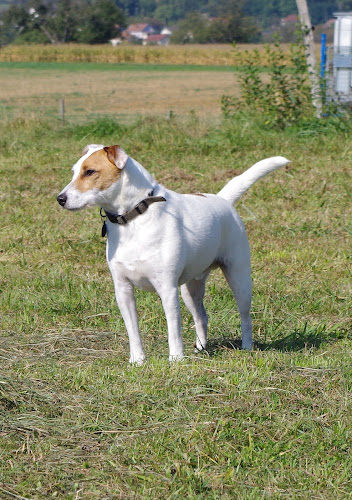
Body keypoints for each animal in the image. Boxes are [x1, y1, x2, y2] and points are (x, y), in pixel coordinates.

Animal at [57, 145, 288, 364]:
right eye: (74, 172)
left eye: (90, 172)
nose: (60, 199)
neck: (134, 217)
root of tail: (223, 200)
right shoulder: (123, 289)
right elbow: (133, 330)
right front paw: (137, 360)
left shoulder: (167, 288)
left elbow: (173, 329)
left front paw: (176, 358)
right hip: (190, 288)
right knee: (202, 317)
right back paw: (201, 348)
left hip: (239, 279)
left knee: (245, 316)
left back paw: (246, 346)